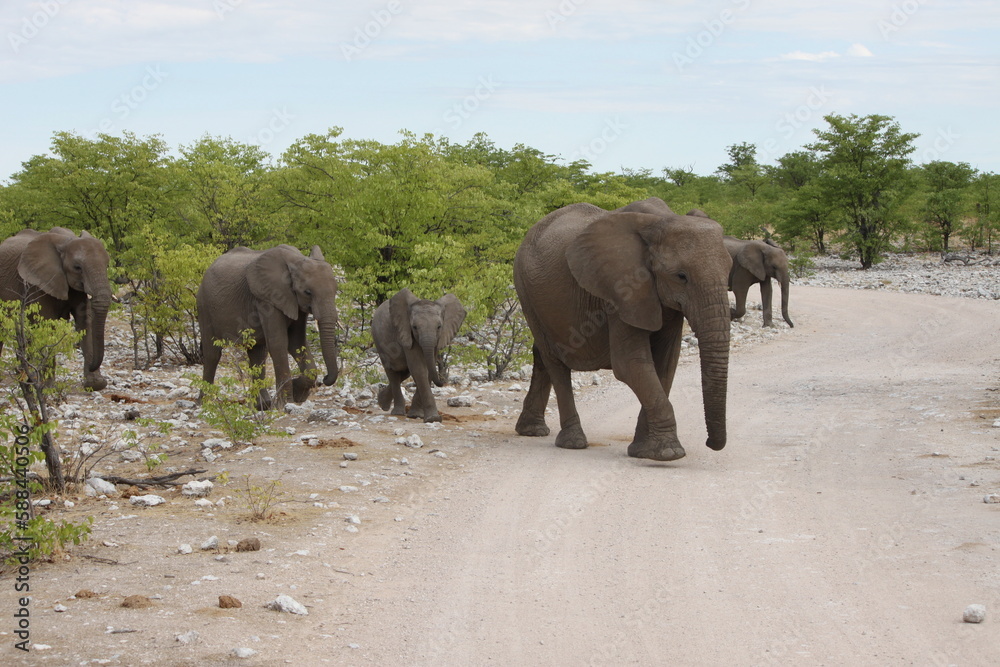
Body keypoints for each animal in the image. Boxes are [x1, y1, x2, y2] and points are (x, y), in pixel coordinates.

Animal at [0, 227, 112, 390]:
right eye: (77, 268)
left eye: (107, 265)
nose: (92, 365)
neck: (66, 242)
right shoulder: (38, 284)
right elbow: (47, 325)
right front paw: (48, 387)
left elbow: (84, 322)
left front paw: (95, 384)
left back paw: (27, 375)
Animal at [197, 244, 340, 410]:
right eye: (308, 292)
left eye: (336, 291)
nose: (325, 378)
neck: (296, 260)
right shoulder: (268, 298)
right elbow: (278, 344)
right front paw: (286, 403)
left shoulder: (294, 302)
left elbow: (297, 343)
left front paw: (297, 392)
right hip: (204, 306)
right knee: (212, 354)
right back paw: (204, 403)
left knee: (258, 354)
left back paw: (262, 405)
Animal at [372, 288, 466, 423]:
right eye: (415, 327)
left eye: (439, 327)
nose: (442, 382)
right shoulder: (406, 333)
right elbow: (419, 369)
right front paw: (433, 419)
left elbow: (427, 369)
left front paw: (417, 415)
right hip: (378, 341)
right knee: (392, 372)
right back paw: (397, 412)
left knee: (404, 372)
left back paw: (382, 402)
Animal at [513, 201, 732, 462]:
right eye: (681, 276)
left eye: (729, 271)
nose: (711, 443)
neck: (662, 221)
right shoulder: (622, 288)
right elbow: (630, 363)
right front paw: (669, 452)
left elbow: (665, 364)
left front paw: (642, 450)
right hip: (525, 290)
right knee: (554, 360)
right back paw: (573, 442)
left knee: (541, 355)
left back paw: (532, 430)